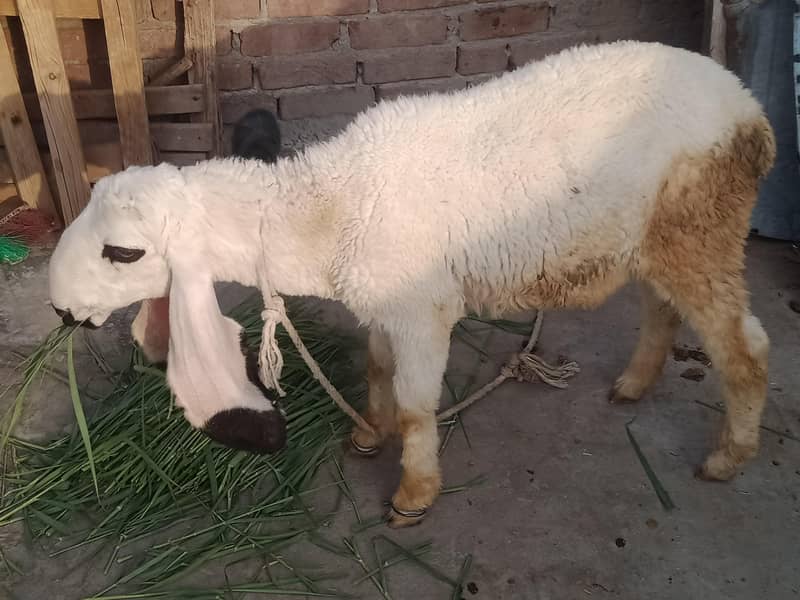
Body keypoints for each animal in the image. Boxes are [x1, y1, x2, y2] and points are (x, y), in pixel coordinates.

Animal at [49, 41, 775, 528]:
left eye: (123, 252)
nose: (60, 310)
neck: (328, 207)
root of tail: (749, 108)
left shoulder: (424, 308)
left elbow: (418, 404)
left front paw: (414, 493)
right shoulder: (382, 302)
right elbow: (377, 370)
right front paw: (370, 435)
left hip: (703, 227)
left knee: (746, 350)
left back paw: (729, 457)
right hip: (656, 239)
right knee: (663, 311)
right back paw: (635, 383)